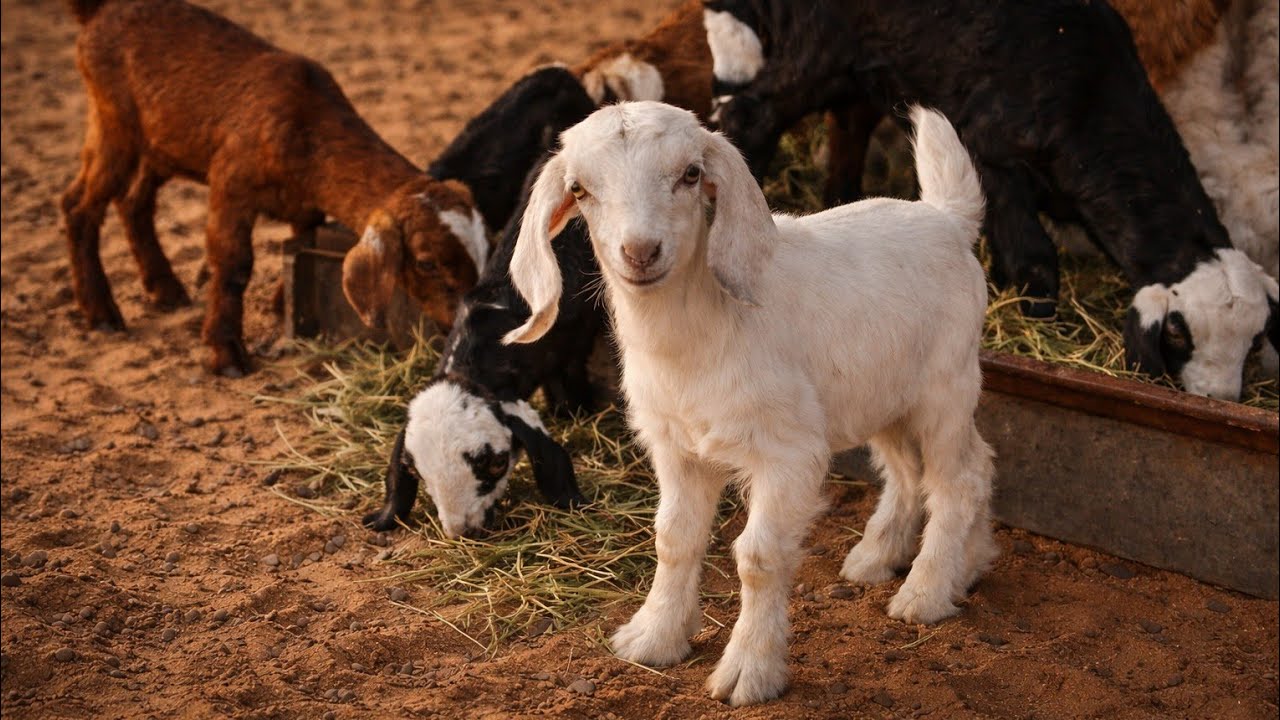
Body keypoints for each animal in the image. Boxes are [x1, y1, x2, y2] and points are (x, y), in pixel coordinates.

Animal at [63, 0, 487, 376]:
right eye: (426, 262)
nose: (464, 322)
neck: (307, 125)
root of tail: (100, 9)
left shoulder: (306, 205)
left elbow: (299, 240)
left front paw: (281, 305)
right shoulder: (230, 185)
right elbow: (234, 266)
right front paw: (227, 354)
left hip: (160, 144)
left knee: (133, 202)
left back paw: (165, 289)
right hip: (113, 122)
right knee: (79, 204)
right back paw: (102, 312)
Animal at [504, 101, 996, 706]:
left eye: (691, 174)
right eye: (579, 188)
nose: (640, 252)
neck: (700, 331)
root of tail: (946, 219)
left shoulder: (788, 451)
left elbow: (758, 558)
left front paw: (749, 670)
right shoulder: (677, 448)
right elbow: (673, 539)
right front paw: (654, 637)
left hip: (945, 387)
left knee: (960, 476)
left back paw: (926, 592)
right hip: (881, 395)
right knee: (917, 470)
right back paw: (914, 560)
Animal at [703, 0, 1278, 401]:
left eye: (1254, 342)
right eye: (1179, 334)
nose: (1219, 398)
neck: (1090, 100)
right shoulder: (995, 158)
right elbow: (1035, 262)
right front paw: (1045, 327)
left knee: (846, 125)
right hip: (822, 48)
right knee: (752, 113)